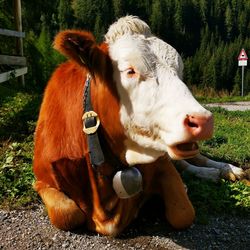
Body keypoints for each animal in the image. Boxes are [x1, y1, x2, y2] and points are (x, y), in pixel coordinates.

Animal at [32, 16, 245, 236]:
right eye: (130, 71)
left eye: (180, 72)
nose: (203, 120)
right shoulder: (41, 179)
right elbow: (67, 214)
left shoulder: (161, 164)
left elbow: (183, 213)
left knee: (195, 159)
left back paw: (226, 170)